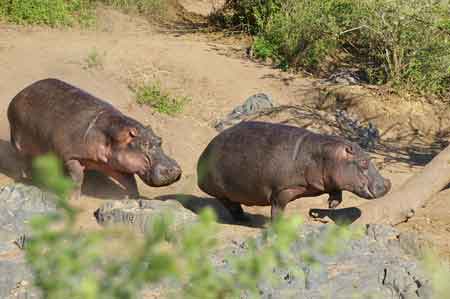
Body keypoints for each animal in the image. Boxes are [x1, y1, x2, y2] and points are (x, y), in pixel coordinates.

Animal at [7, 78, 182, 200]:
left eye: (160, 140)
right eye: (144, 145)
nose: (174, 169)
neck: (112, 135)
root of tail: (20, 93)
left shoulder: (116, 164)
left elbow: (130, 182)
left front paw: (133, 198)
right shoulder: (72, 157)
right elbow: (77, 179)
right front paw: (73, 199)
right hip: (17, 139)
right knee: (23, 161)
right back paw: (28, 178)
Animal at [197, 120, 390, 221]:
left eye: (370, 158)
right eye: (363, 162)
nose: (386, 186)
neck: (323, 156)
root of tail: (205, 151)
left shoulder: (332, 180)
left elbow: (337, 191)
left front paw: (331, 205)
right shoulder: (282, 190)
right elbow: (277, 207)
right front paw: (278, 225)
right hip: (221, 191)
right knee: (230, 204)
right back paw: (244, 219)